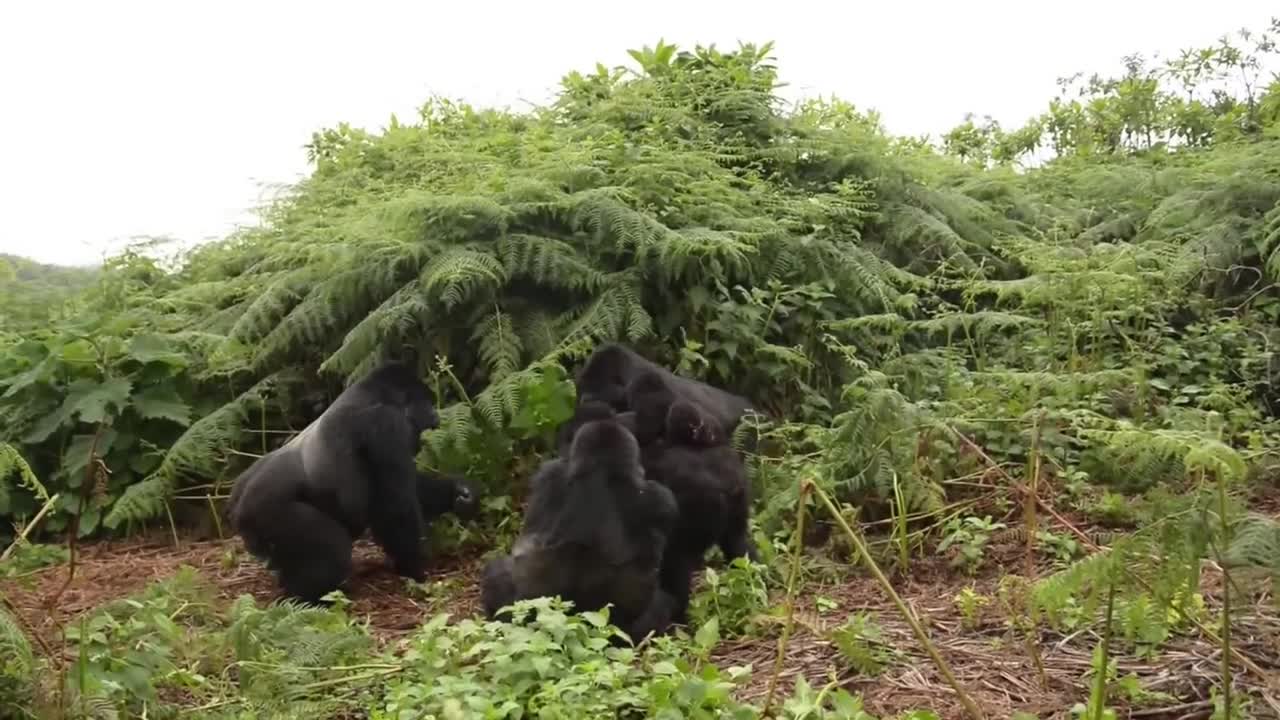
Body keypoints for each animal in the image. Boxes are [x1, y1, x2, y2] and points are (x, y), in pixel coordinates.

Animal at [227, 358, 478, 599]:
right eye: (427, 402)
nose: (436, 416)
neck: (375, 394)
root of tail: (237, 507)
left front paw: (459, 492)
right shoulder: (386, 424)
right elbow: (396, 506)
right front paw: (415, 568)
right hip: (270, 514)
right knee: (332, 547)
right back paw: (312, 598)